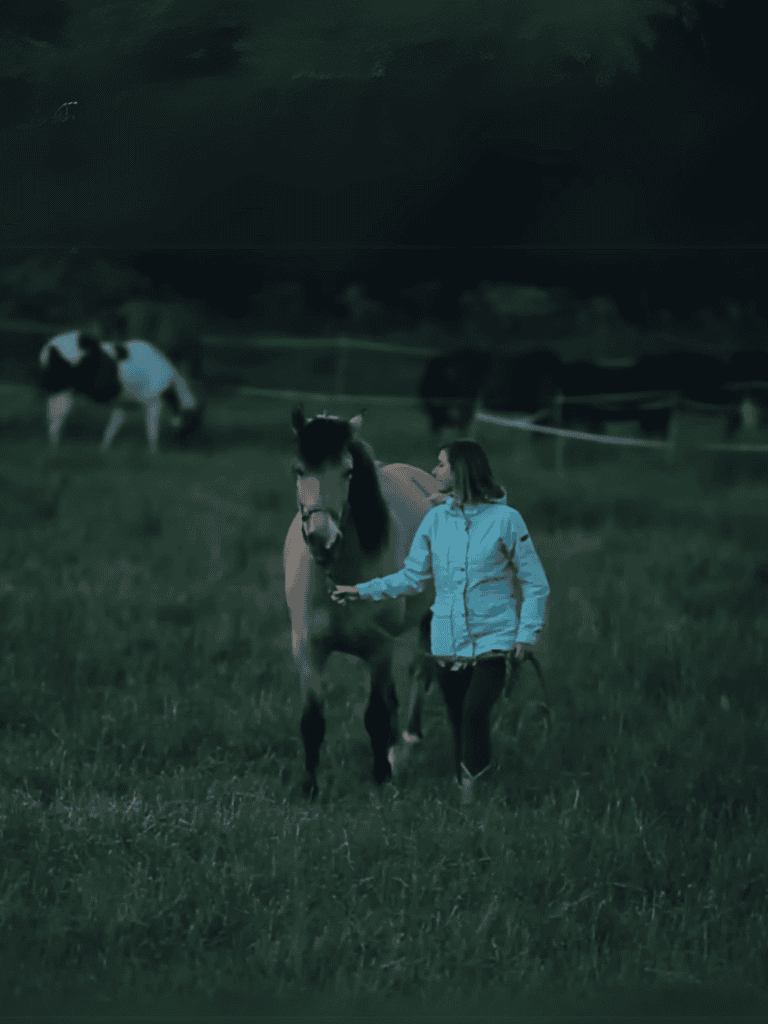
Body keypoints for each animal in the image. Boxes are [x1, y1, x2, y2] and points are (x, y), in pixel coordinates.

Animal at [283, 408, 440, 799]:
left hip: (427, 621)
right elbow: (312, 720)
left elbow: (376, 715)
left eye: (348, 471)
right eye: (299, 469)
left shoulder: (378, 649)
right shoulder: (307, 649)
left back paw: (406, 740)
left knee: (418, 672)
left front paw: (382, 776)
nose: (321, 538)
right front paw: (310, 787)